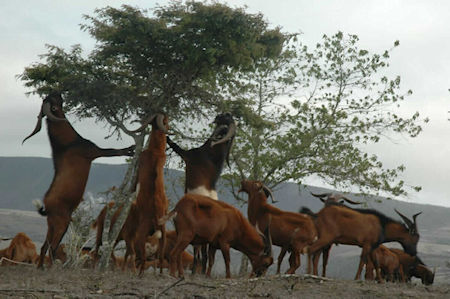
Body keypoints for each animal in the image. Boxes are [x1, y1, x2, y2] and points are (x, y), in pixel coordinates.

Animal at [22, 92, 134, 270]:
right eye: (53, 101)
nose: (59, 92)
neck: (67, 143)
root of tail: (47, 206)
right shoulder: (93, 152)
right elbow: (112, 151)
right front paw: (131, 149)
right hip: (62, 222)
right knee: (52, 247)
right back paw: (54, 267)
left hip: (51, 224)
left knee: (45, 246)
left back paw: (41, 267)